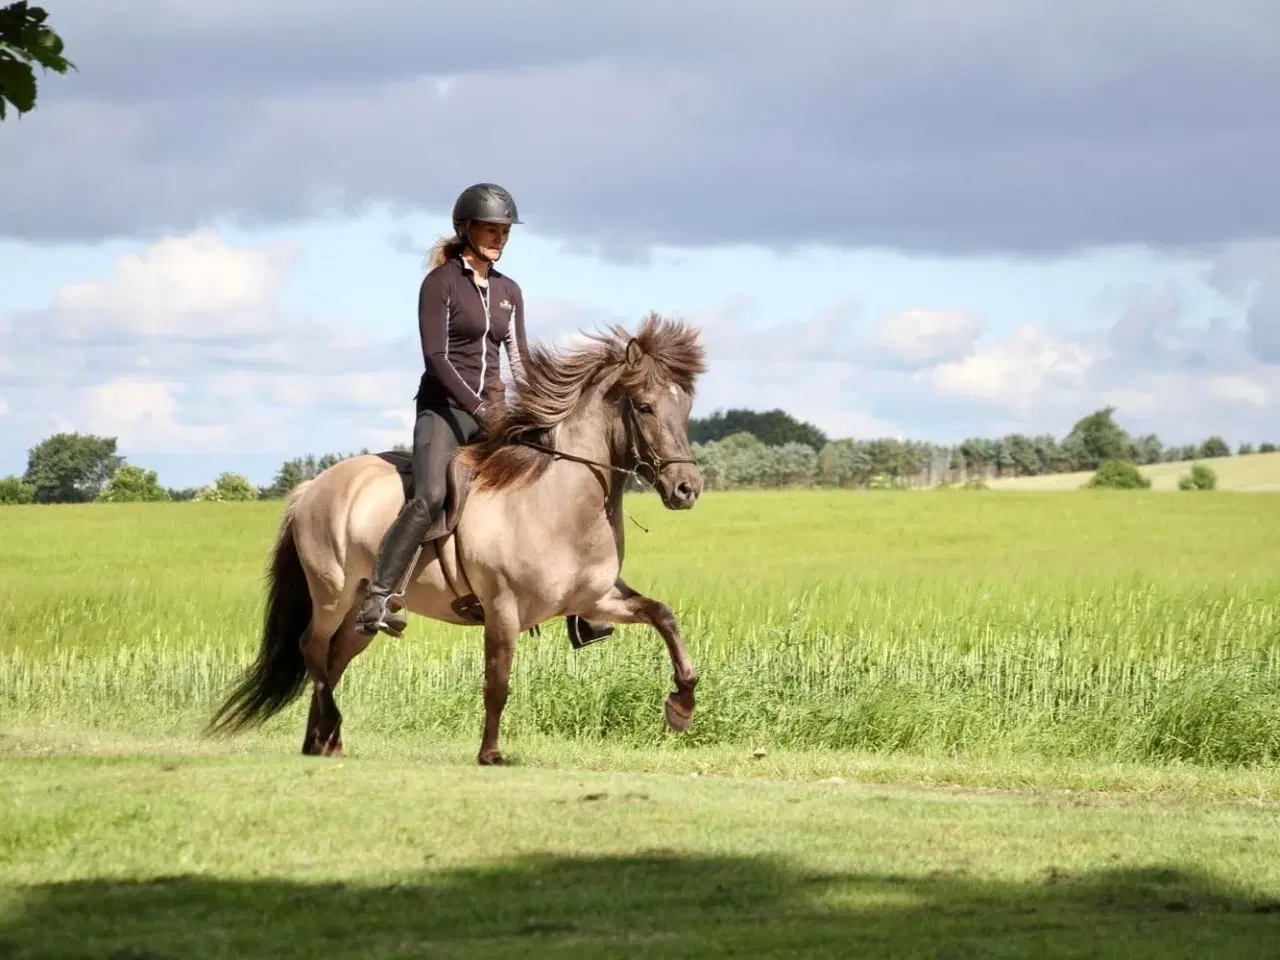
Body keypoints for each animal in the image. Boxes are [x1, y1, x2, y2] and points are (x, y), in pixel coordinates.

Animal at [209, 313, 711, 768]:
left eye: (685, 408)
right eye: (644, 406)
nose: (687, 489)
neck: (559, 504)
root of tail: (311, 487)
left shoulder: (594, 599)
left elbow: (663, 616)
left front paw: (682, 706)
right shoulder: (502, 608)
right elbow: (497, 681)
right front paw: (490, 754)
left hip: (356, 614)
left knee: (333, 660)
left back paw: (322, 740)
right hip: (330, 593)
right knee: (311, 648)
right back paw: (328, 727)